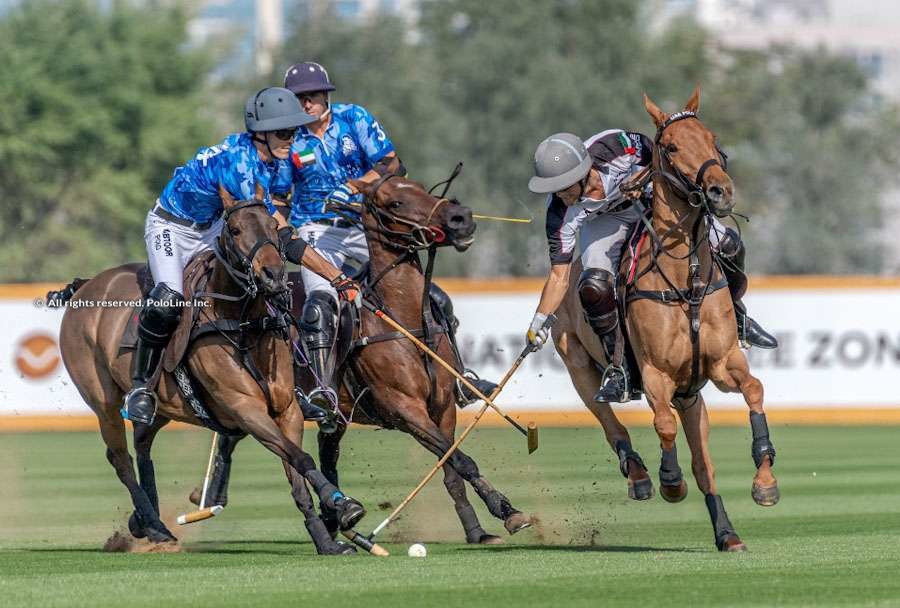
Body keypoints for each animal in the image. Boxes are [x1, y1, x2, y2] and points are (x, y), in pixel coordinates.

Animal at [52, 185, 366, 556]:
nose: (274, 277)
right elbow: (301, 458)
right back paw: (156, 527)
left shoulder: (287, 408)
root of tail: (85, 287)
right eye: (235, 230)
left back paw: (144, 520)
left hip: (162, 407)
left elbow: (297, 473)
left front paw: (328, 536)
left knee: (142, 445)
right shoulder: (245, 408)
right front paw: (341, 505)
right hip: (102, 401)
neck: (242, 322)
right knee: (120, 457)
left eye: (275, 228)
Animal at [187, 173, 532, 544]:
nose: (461, 218)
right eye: (395, 202)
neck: (401, 319)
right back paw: (211, 497)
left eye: (421, 188)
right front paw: (505, 510)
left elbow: (452, 466)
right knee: (236, 432)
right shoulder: (405, 409)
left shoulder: (442, 407)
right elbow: (461, 460)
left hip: (330, 413)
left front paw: (482, 528)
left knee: (321, 451)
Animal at [552, 88, 776, 552]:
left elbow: (754, 390)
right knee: (611, 422)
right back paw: (639, 475)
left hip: (691, 395)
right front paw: (670, 481)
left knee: (704, 465)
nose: (720, 192)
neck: (684, 279)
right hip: (578, 365)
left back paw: (727, 533)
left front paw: (765, 481)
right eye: (671, 147)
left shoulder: (722, 363)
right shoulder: (655, 373)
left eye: (712, 139)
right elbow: (661, 424)